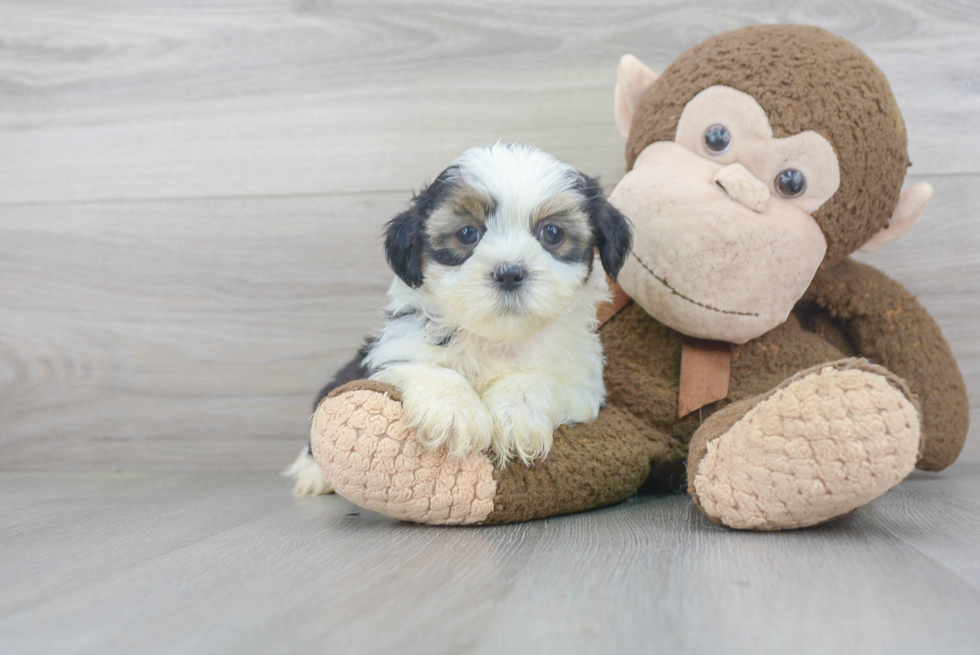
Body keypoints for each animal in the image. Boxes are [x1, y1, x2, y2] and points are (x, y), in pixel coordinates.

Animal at [288, 142, 632, 492]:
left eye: (552, 233)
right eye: (467, 233)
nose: (509, 273)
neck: (497, 338)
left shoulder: (582, 385)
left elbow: (537, 379)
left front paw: (516, 413)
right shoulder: (392, 352)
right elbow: (425, 367)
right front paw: (454, 412)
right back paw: (314, 476)